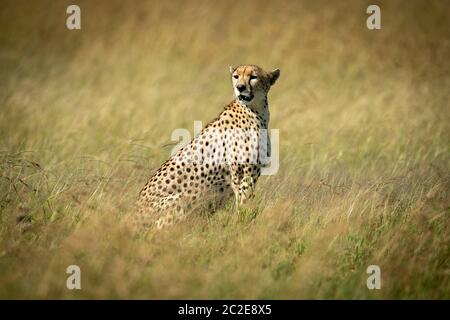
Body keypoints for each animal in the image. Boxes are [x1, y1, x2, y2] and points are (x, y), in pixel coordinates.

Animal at [135, 65, 280, 229]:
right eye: (236, 76)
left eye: (253, 77)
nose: (240, 87)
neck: (256, 110)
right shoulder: (242, 172)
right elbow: (244, 203)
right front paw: (242, 223)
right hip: (182, 198)